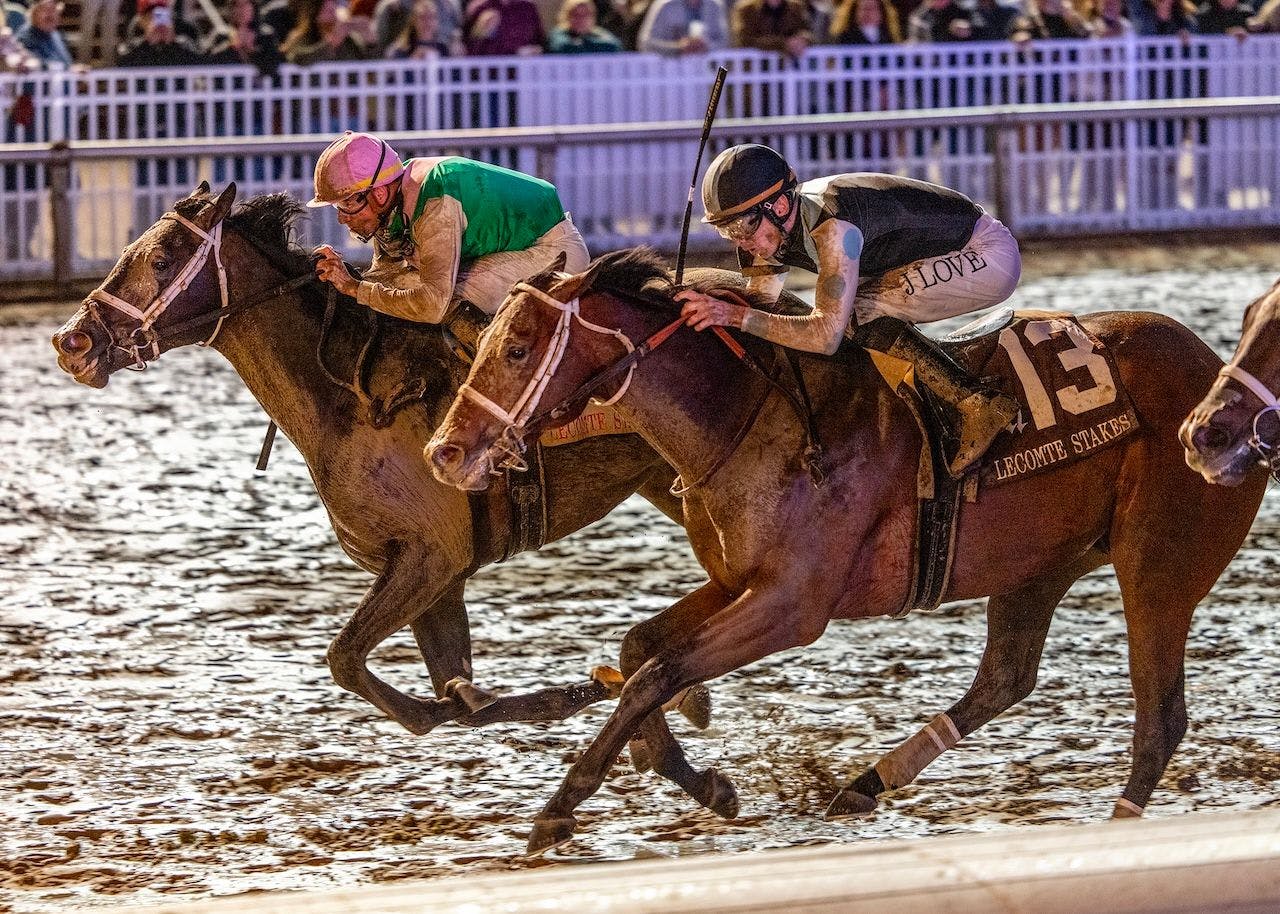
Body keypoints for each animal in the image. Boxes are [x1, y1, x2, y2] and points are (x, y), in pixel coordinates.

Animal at [49, 183, 696, 732]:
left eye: (161, 260)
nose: (71, 342)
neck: (349, 397)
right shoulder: (435, 572)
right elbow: (446, 686)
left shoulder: (431, 555)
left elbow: (350, 660)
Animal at [424, 247, 1264, 844]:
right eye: (487, 341)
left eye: (519, 348)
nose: (444, 452)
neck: (746, 418)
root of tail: (1216, 373)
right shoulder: (735, 580)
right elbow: (640, 655)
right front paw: (694, 775)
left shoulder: (793, 607)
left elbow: (654, 673)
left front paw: (562, 806)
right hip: (1042, 563)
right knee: (1007, 677)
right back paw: (863, 784)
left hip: (1158, 567)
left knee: (1159, 718)